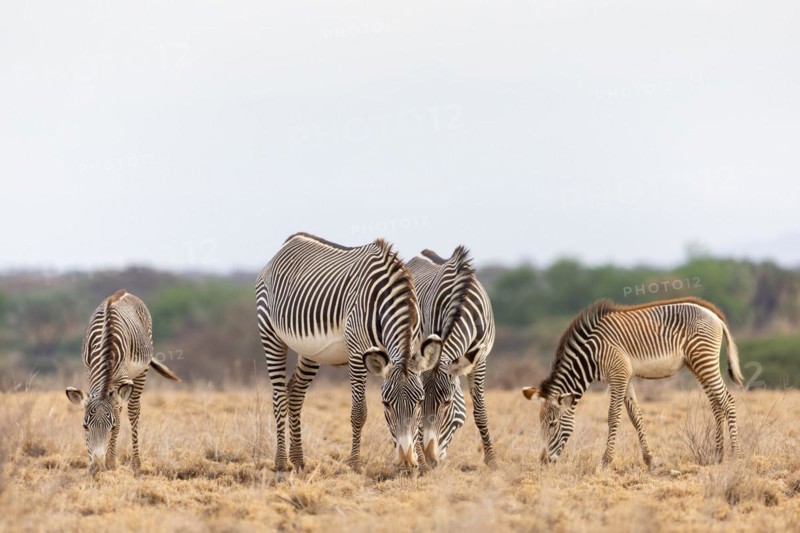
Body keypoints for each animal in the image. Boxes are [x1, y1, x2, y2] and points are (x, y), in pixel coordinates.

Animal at [65, 290, 181, 474]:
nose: (97, 467)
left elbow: (119, 418)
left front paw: (110, 463)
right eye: (85, 427)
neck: (106, 340)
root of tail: (124, 291)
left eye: (111, 427)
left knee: (132, 411)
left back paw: (135, 465)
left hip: (141, 371)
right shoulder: (89, 372)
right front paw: (90, 464)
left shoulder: (122, 378)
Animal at [255, 233, 442, 473]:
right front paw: (354, 464)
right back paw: (280, 462)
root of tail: (289, 242)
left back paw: (298, 460)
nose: (407, 461)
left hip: (311, 351)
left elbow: (417, 421)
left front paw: (421, 464)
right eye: (386, 404)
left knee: (295, 392)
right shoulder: (357, 354)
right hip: (270, 334)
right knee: (278, 397)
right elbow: (359, 412)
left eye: (419, 401)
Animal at [406, 246, 497, 468]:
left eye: (447, 403)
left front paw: (491, 461)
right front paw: (421, 459)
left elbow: (480, 411)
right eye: (423, 402)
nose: (431, 460)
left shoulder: (479, 360)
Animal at [522, 297, 744, 467]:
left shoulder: (618, 375)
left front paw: (605, 461)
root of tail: (714, 314)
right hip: (696, 364)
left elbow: (613, 416)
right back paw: (718, 455)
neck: (591, 355)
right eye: (540, 424)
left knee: (728, 401)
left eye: (552, 424)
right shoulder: (625, 376)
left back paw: (735, 456)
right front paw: (649, 459)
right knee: (716, 403)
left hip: (704, 360)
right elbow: (635, 416)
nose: (543, 461)